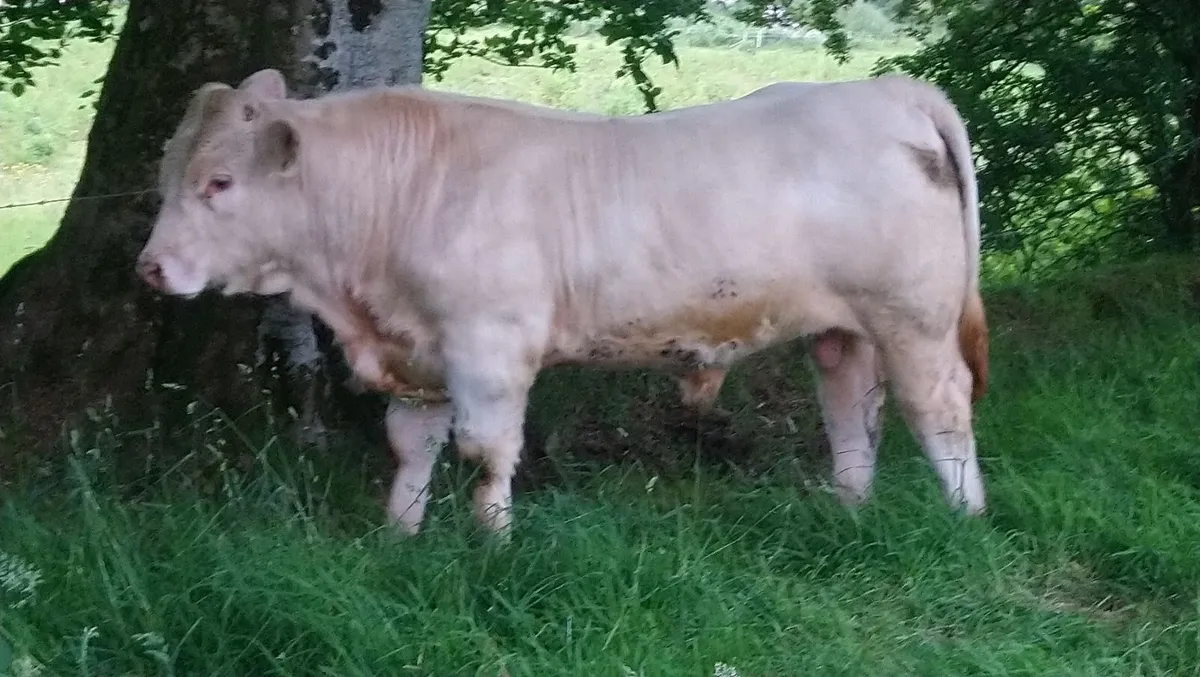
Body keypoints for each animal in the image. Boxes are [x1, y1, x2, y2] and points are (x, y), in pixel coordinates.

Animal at [136, 68, 990, 538]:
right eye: (166, 172)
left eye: (220, 182)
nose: (151, 267)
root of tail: (887, 89)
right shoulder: (422, 352)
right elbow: (411, 448)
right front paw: (398, 538)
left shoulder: (489, 347)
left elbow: (485, 452)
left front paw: (492, 545)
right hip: (845, 328)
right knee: (853, 410)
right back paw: (848, 510)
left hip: (913, 317)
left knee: (940, 409)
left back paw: (966, 517)